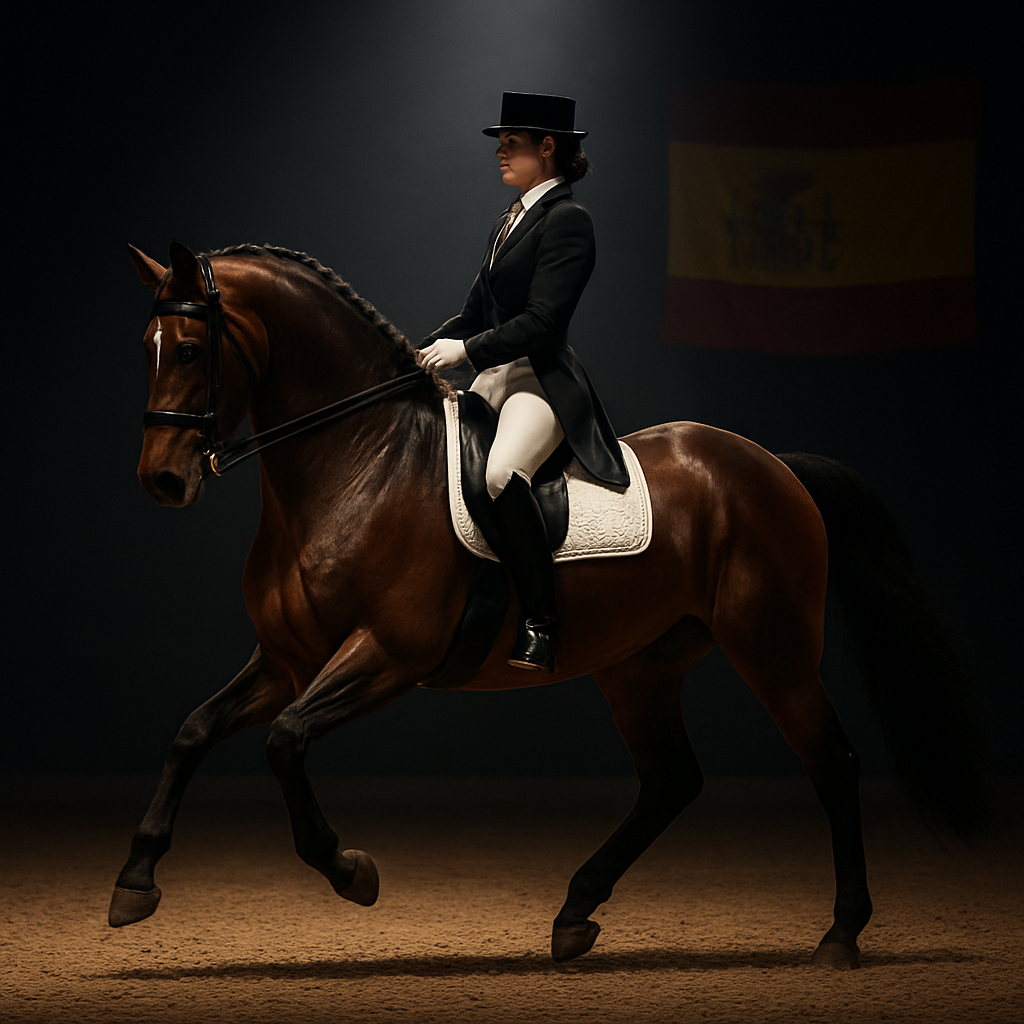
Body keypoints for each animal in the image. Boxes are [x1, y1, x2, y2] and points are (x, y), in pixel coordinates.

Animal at [111, 240, 983, 968]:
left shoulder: (387, 654)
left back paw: (841, 934)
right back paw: (574, 915)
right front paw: (134, 881)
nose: (162, 481)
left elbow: (285, 742)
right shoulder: (288, 659)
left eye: (187, 348)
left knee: (830, 763)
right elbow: (193, 732)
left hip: (773, 651)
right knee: (672, 780)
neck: (361, 462)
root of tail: (774, 465)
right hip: (641, 665)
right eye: (147, 347)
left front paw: (350, 869)